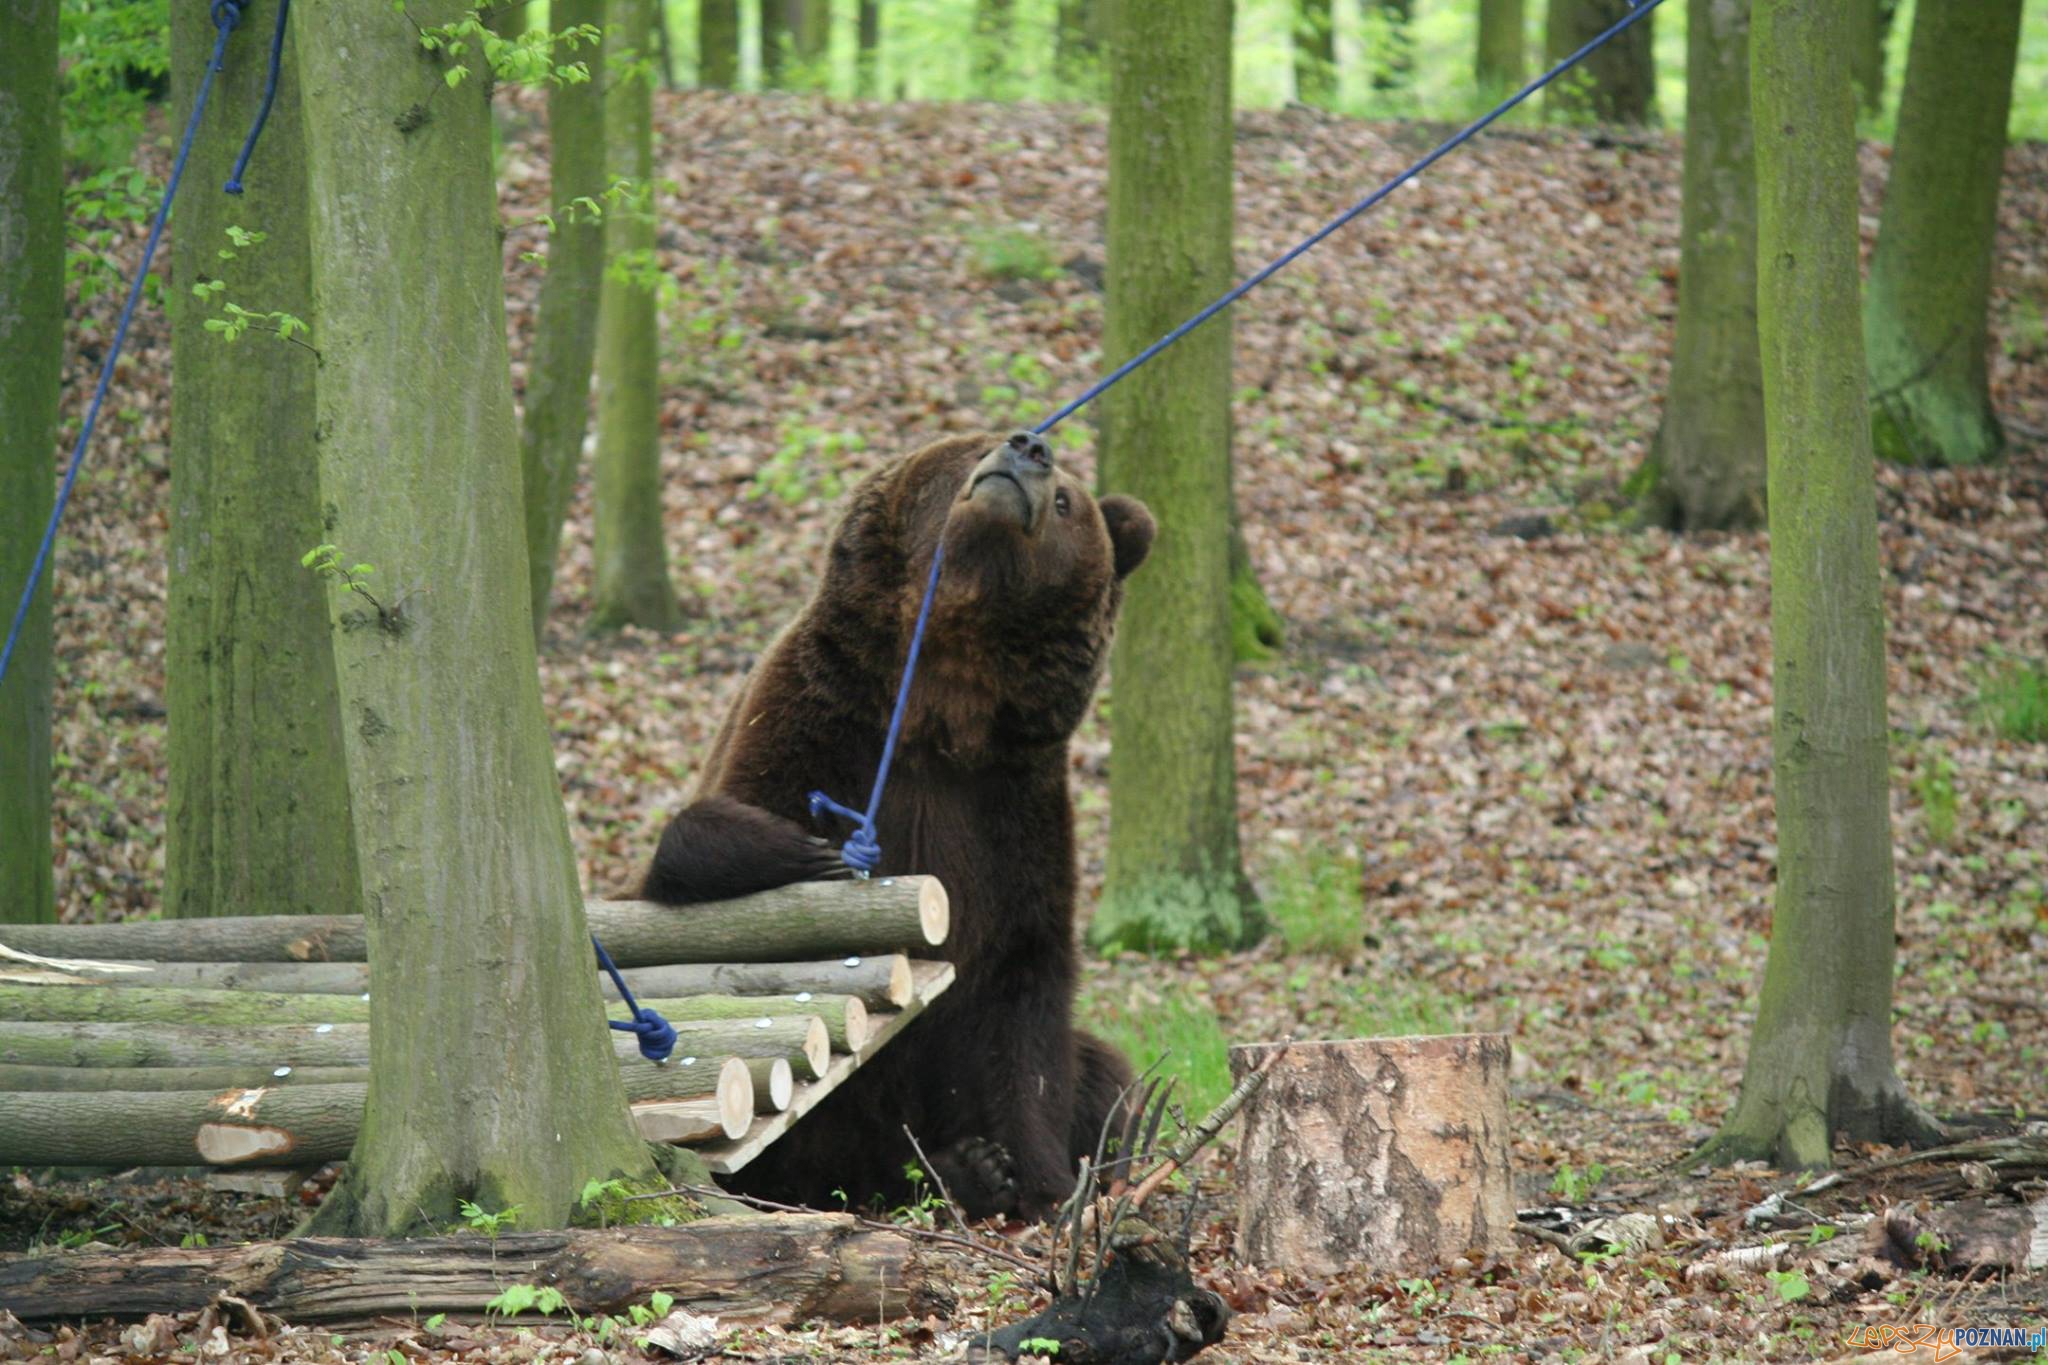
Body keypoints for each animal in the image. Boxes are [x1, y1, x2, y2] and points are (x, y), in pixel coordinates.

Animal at [638, 427, 1155, 1219]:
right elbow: (688, 860)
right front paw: (806, 851)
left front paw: (1041, 1183)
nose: (1029, 449)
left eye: (1069, 500)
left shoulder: (1010, 813)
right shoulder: (816, 724)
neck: (942, 703)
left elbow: (1024, 1001)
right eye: (976, 442)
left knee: (1104, 1073)